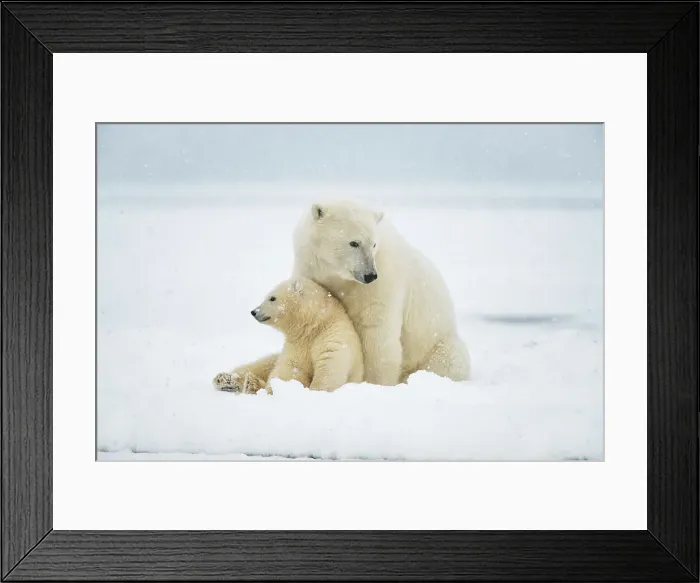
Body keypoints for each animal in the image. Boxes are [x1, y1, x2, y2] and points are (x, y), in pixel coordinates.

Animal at [213, 277, 363, 393]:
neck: (314, 324)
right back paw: (225, 379)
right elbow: (292, 368)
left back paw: (249, 383)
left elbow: (329, 365)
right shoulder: (297, 344)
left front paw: (316, 390)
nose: (254, 311)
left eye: (272, 298)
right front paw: (275, 389)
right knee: (260, 365)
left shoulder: (333, 337)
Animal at [228, 200, 470, 387]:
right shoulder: (311, 269)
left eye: (374, 244)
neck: (341, 278)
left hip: (438, 345)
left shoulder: (382, 283)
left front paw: (374, 385)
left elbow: (377, 334)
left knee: (447, 361)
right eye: (354, 242)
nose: (370, 275)